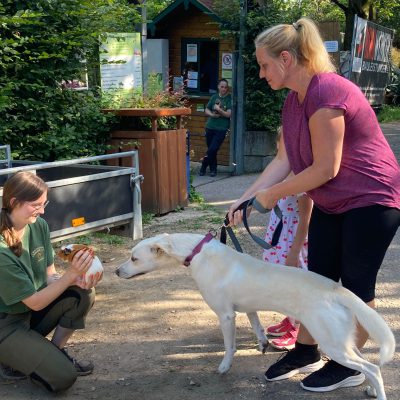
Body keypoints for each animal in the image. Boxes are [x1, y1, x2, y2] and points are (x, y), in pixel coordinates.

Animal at [115, 233, 394, 398]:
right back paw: (370, 388)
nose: (116, 271)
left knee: (373, 368)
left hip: (332, 343)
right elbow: (257, 326)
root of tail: (338, 289)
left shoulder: (226, 316)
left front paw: (224, 367)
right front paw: (262, 343)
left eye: (134, 258)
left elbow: (229, 347)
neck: (197, 252)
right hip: (341, 342)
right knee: (368, 366)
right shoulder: (249, 308)